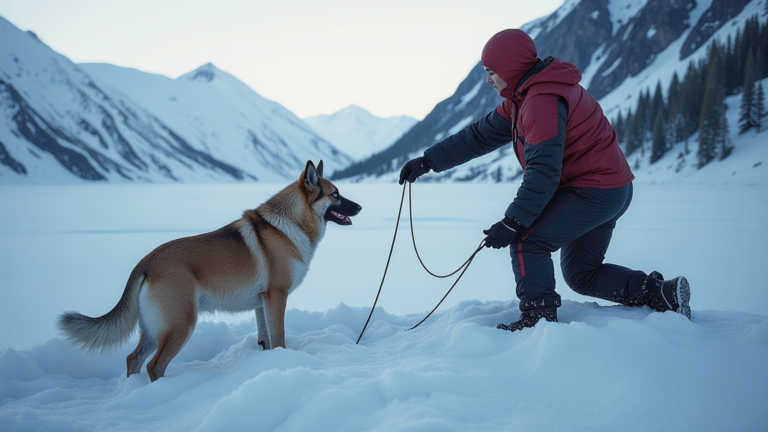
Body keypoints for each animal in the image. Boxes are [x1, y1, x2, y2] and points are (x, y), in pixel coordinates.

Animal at [57, 160, 364, 380]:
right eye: (336, 195)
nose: (361, 206)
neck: (290, 225)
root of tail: (147, 261)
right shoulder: (277, 297)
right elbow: (279, 338)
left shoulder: (261, 303)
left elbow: (264, 338)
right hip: (181, 325)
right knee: (155, 365)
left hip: (154, 328)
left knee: (134, 359)